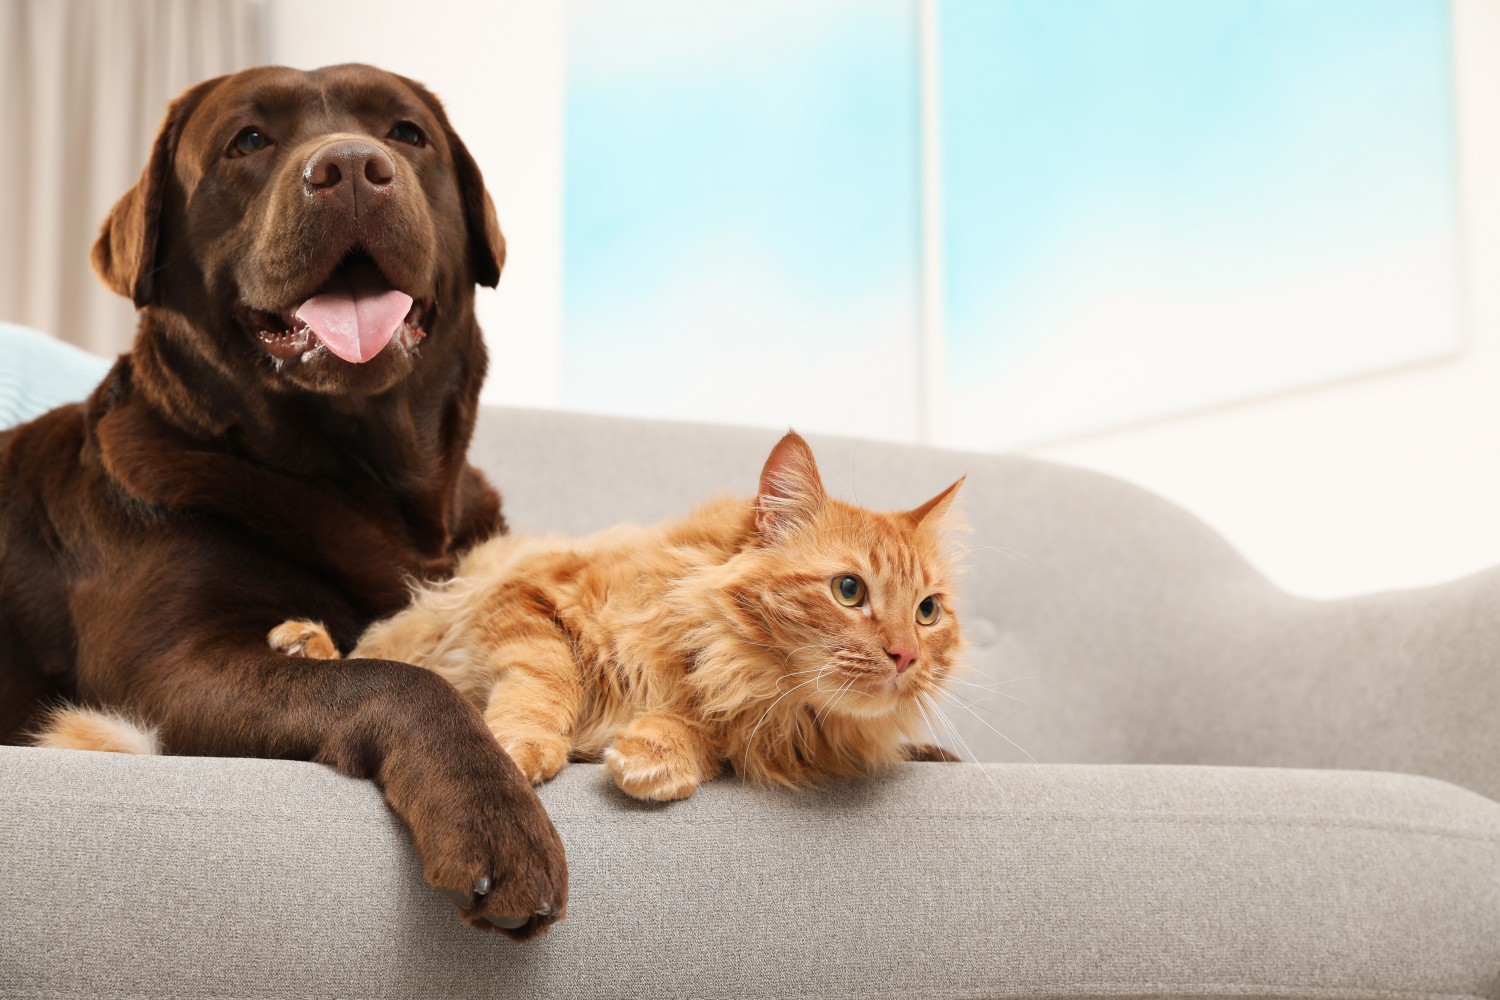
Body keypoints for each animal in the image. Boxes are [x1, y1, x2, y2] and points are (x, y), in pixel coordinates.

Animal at [0, 64, 567, 941]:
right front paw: (493, 818)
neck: (361, 479)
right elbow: (389, 679)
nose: (352, 168)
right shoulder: (167, 672)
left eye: (406, 134)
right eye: (248, 141)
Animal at [43, 434, 972, 803]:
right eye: (848, 591)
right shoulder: (527, 603)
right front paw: (522, 749)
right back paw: (303, 641)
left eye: (928, 612)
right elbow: (543, 682)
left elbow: (704, 738)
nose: (903, 656)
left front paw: (659, 754)